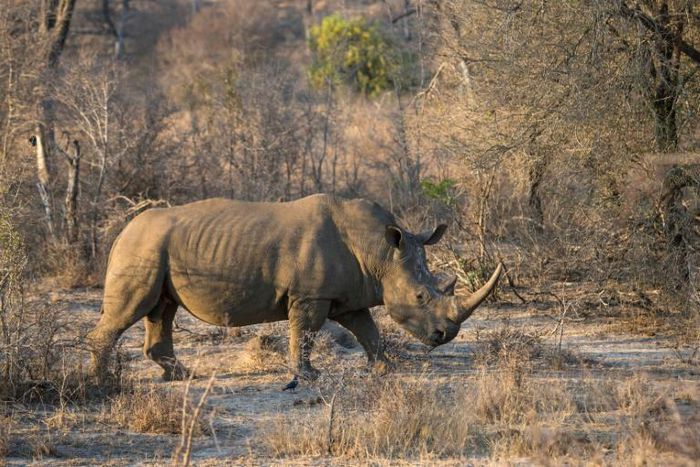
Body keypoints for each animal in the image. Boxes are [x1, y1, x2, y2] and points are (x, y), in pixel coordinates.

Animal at [87, 194, 502, 380]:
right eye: (420, 296)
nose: (444, 336)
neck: (381, 253)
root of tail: (122, 230)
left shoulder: (348, 295)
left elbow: (368, 331)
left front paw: (385, 367)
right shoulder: (309, 295)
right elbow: (305, 334)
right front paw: (309, 376)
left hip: (154, 248)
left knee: (162, 309)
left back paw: (181, 376)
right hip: (142, 247)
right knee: (134, 309)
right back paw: (103, 380)